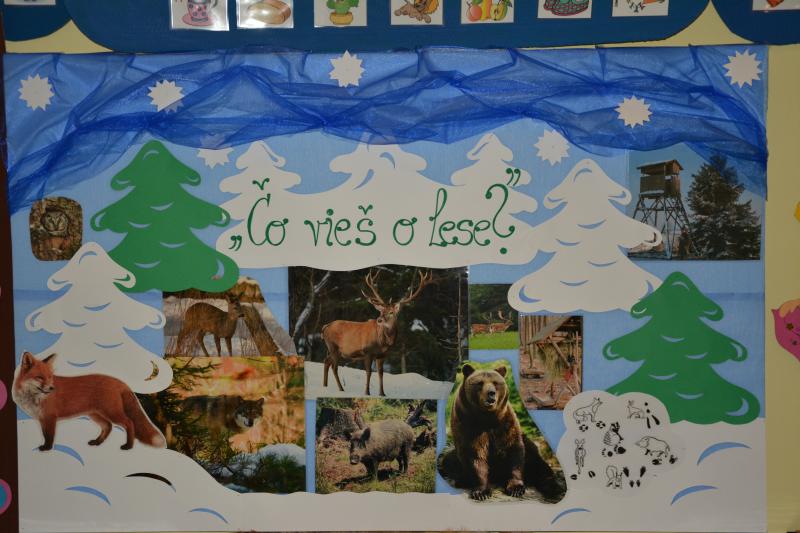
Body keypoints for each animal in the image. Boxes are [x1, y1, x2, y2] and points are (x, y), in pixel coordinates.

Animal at [12, 352, 166, 451]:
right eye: (39, 377)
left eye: (50, 377)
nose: (51, 388)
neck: (35, 397)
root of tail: (120, 382)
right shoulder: (42, 418)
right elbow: (45, 434)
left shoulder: (50, 417)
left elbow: (49, 435)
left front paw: (47, 448)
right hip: (96, 415)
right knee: (108, 426)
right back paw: (97, 442)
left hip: (112, 412)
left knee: (129, 423)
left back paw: (128, 446)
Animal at [439, 363, 566, 502]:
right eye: (480, 383)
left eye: (496, 382)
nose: (491, 393)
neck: (486, 417)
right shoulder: (468, 424)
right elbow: (474, 454)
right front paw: (481, 492)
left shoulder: (505, 423)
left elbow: (513, 451)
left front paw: (516, 488)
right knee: (448, 461)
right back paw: (461, 480)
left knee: (539, 465)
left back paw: (554, 488)